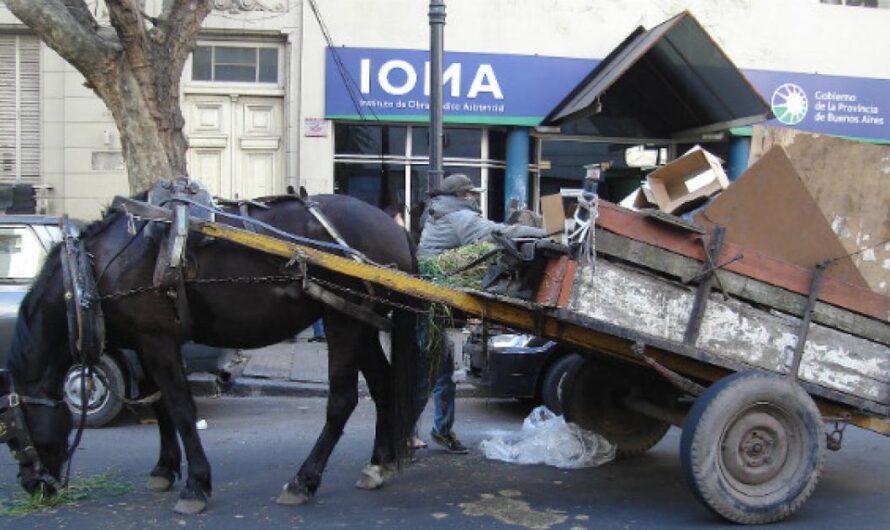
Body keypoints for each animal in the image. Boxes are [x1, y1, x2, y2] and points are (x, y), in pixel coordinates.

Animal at [0, 190, 424, 512]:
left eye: (10, 434)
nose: (34, 485)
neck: (94, 270)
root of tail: (393, 227)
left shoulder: (158, 339)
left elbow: (182, 409)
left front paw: (196, 484)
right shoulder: (145, 342)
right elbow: (160, 406)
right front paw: (164, 469)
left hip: (343, 322)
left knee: (343, 400)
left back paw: (303, 481)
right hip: (360, 320)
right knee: (383, 386)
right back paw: (378, 464)